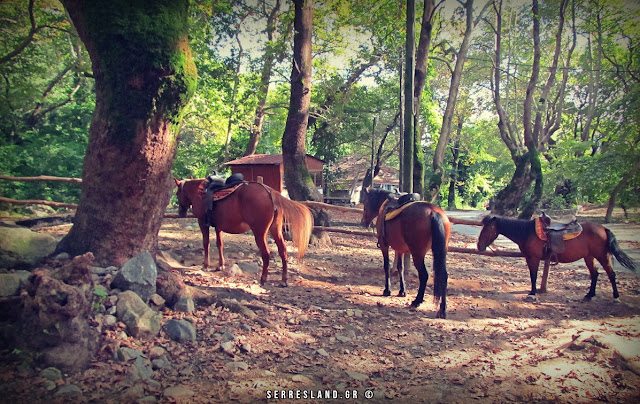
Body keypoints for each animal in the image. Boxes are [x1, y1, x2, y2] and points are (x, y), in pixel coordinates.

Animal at [175, 178, 316, 288]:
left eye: (177, 193)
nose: (181, 213)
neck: (200, 193)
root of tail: (270, 192)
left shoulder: (202, 223)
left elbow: (206, 243)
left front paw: (205, 266)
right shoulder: (218, 227)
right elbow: (220, 244)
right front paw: (220, 265)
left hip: (259, 233)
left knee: (266, 254)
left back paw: (263, 279)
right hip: (275, 230)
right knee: (283, 251)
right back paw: (284, 280)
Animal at [362, 188, 452, 318]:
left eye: (365, 202)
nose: (363, 221)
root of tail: (433, 212)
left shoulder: (384, 246)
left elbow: (386, 266)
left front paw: (387, 290)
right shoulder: (400, 249)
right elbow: (401, 268)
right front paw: (402, 291)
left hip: (418, 254)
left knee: (424, 275)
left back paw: (417, 301)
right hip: (441, 252)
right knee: (443, 276)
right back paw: (442, 310)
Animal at [478, 218, 636, 300]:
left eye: (487, 229)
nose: (479, 246)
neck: (528, 232)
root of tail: (603, 229)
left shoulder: (533, 258)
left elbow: (533, 276)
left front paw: (532, 293)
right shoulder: (530, 258)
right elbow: (532, 275)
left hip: (602, 256)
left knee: (611, 274)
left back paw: (616, 296)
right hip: (589, 257)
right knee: (595, 274)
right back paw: (589, 294)